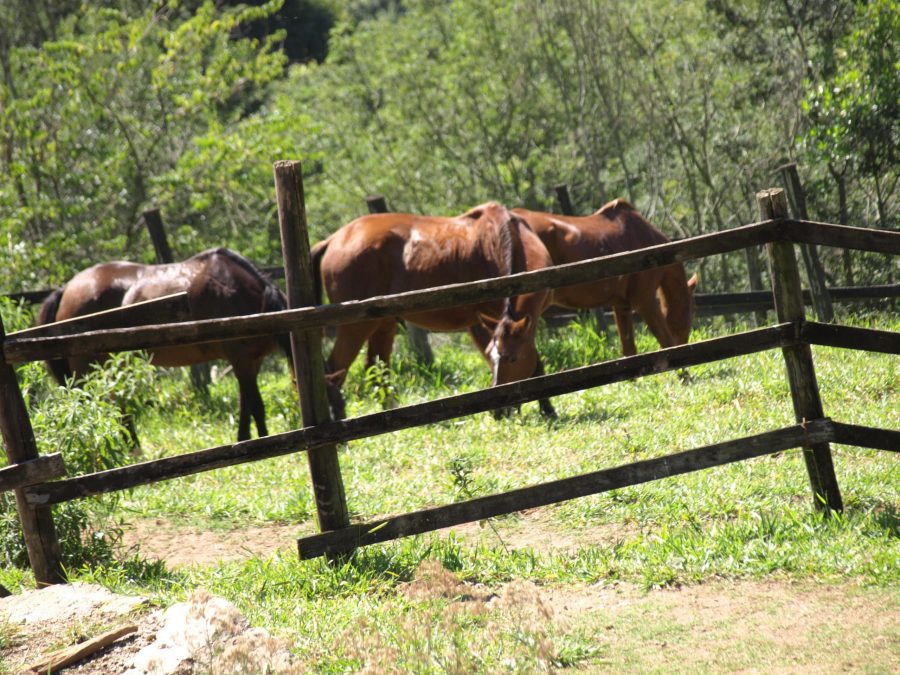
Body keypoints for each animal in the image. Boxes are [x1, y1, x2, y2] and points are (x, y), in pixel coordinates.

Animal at [37, 247, 293, 442]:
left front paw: (244, 439)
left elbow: (245, 405)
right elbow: (256, 406)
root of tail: (65, 289)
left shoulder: (251, 361)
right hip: (87, 371)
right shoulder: (241, 359)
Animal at [311, 202, 557, 420]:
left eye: (512, 359)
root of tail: (335, 238)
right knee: (335, 370)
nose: (499, 411)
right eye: (497, 356)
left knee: (376, 370)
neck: (508, 238)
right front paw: (546, 409)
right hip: (356, 326)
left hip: (382, 324)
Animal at [512, 200, 698, 356]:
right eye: (688, 312)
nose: (685, 344)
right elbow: (666, 341)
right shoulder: (644, 301)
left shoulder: (622, 305)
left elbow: (629, 349)